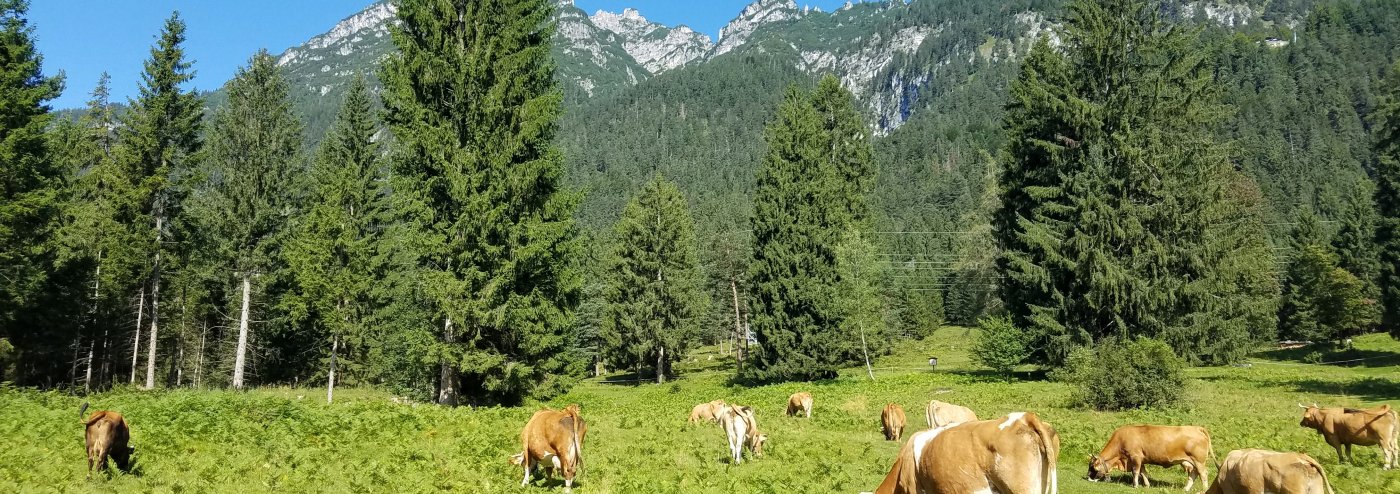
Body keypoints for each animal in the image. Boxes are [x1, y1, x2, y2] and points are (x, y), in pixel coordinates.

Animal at [1080, 422, 1215, 489]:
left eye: (1092, 467)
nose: (1088, 477)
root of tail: (1197, 428)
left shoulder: (1135, 457)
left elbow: (1135, 472)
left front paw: (1135, 485)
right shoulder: (1142, 459)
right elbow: (1143, 472)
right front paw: (1147, 485)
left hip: (1199, 461)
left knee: (1203, 474)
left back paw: (1204, 489)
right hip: (1191, 462)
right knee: (1194, 473)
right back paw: (1186, 489)